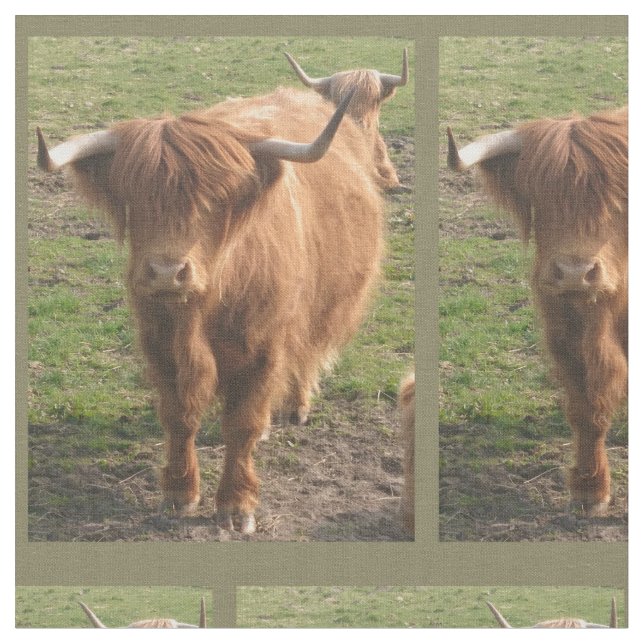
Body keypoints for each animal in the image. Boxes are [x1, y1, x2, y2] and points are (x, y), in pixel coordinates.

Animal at [36, 85, 386, 534]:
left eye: (215, 199)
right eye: (135, 197)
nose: (167, 273)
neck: (200, 314)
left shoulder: (264, 349)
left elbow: (241, 425)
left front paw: (237, 506)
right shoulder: (160, 346)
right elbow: (179, 416)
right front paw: (179, 492)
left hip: (322, 307)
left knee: (308, 351)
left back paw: (297, 406)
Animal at [447, 107, 627, 516]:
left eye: (619, 199)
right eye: (542, 199)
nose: (575, 272)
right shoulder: (567, 334)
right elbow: (586, 408)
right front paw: (590, 489)